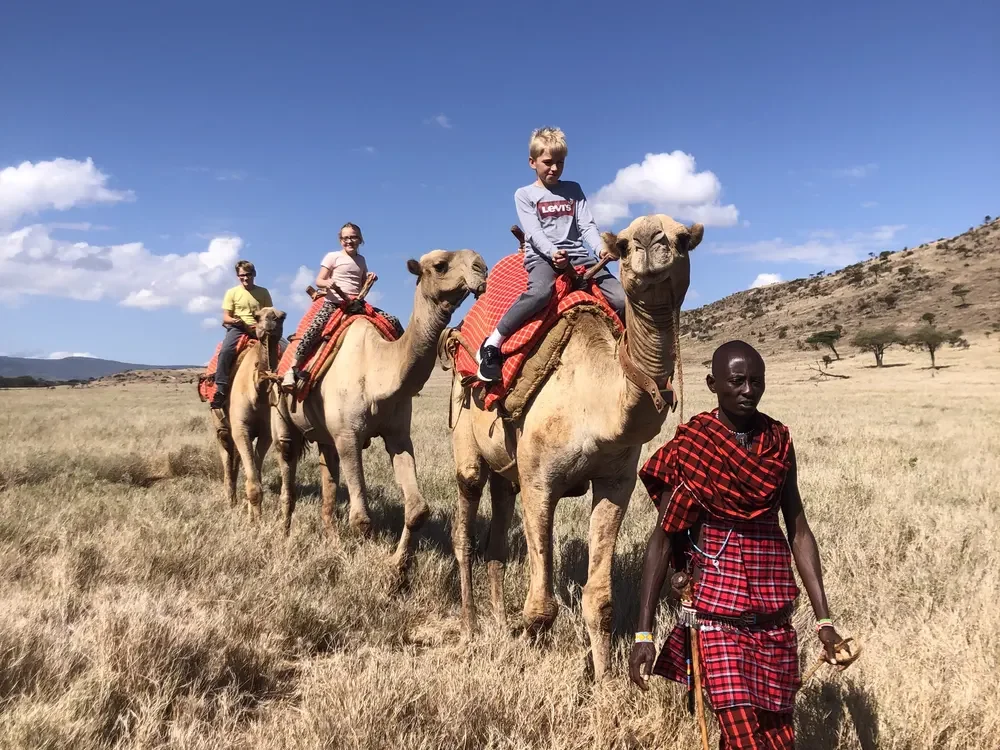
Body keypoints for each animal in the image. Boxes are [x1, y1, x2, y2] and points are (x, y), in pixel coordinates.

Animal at [211, 307, 287, 517]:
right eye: (257, 316)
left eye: (283, 316)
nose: (271, 319)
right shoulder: (240, 428)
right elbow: (253, 484)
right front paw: (255, 521)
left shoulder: (266, 433)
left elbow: (256, 476)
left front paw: (254, 515)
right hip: (221, 427)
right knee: (227, 460)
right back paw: (230, 502)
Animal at [272, 249, 488, 572]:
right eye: (440, 265)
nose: (482, 268)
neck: (376, 371)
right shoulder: (348, 436)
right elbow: (361, 518)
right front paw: (364, 563)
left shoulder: (397, 434)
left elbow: (418, 509)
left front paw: (399, 567)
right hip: (282, 415)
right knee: (288, 471)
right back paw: (285, 534)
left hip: (324, 436)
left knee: (327, 478)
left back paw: (332, 539)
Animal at [446, 214, 701, 681]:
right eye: (624, 244)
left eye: (682, 238)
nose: (650, 242)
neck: (596, 403)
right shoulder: (540, 482)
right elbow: (541, 605)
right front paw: (530, 657)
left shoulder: (616, 481)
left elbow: (599, 601)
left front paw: (605, 683)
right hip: (467, 440)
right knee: (464, 528)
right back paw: (472, 626)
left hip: (507, 473)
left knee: (496, 539)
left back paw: (498, 621)